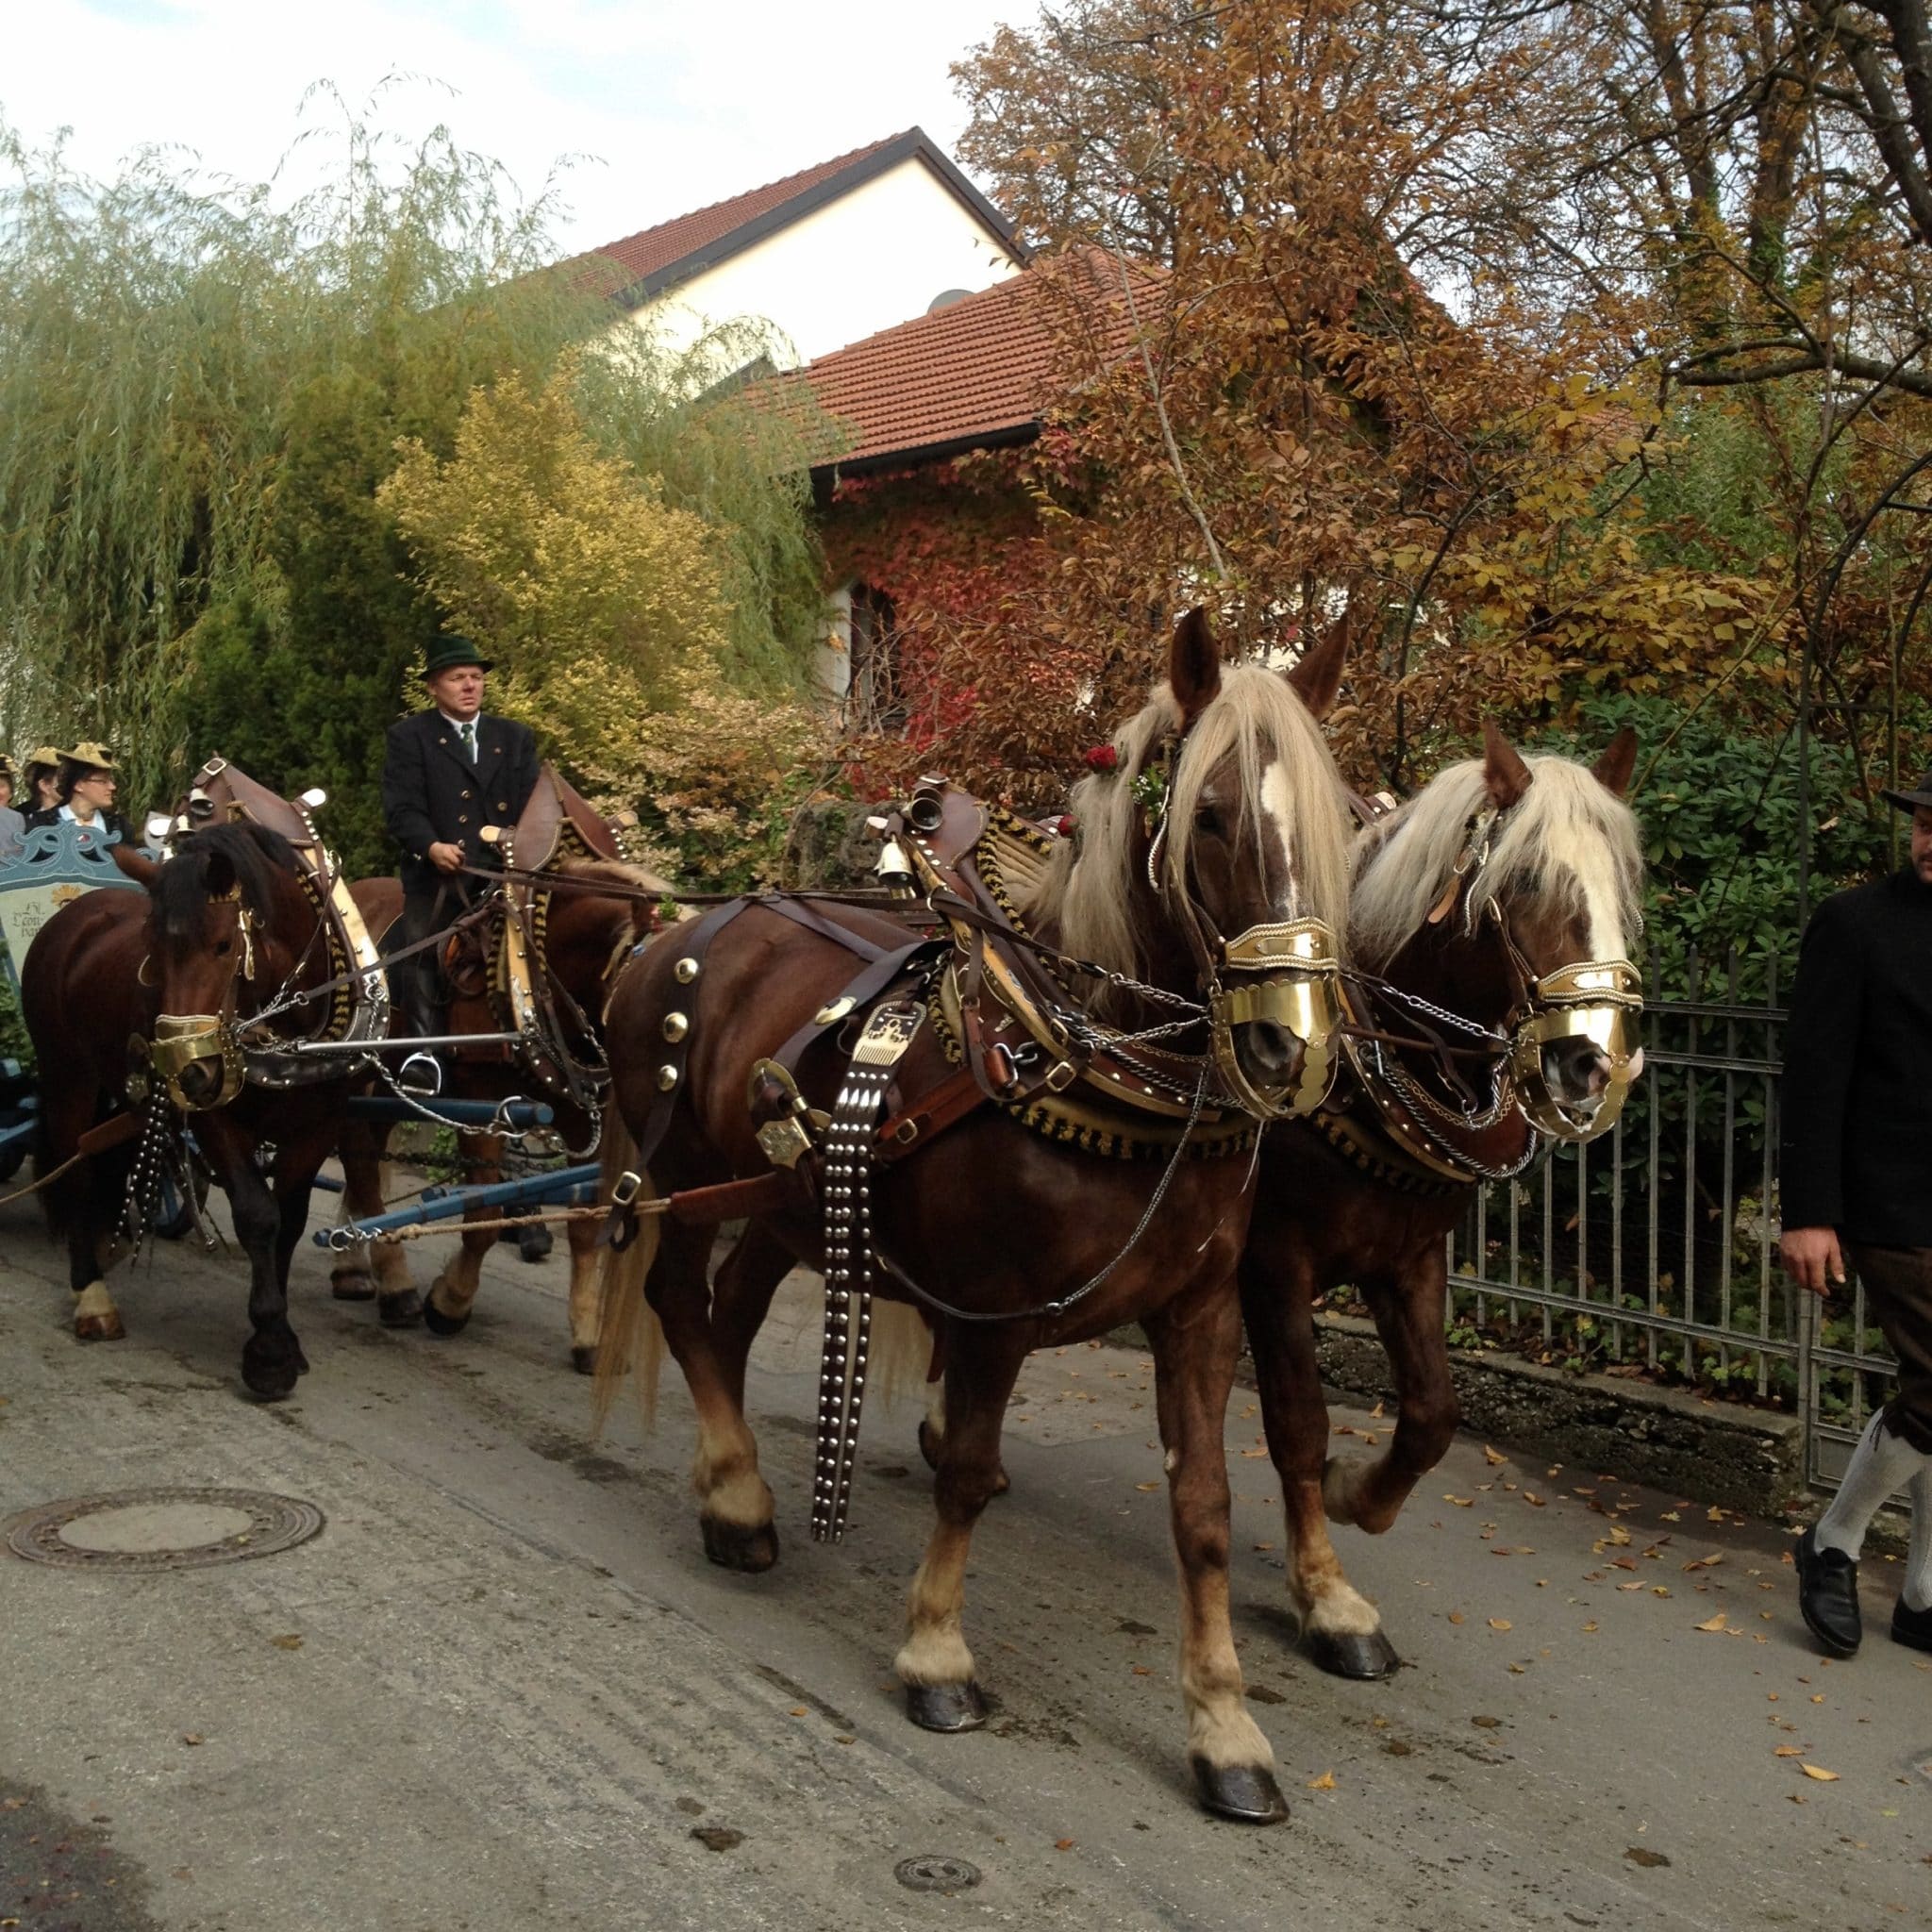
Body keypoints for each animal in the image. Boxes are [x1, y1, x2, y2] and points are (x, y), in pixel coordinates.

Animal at [22, 819, 386, 1396]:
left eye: (223, 945)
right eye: (151, 950)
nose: (186, 1069)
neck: (284, 1030)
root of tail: (76, 912)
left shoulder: (318, 1125)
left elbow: (290, 1220)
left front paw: (285, 1335)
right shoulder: (216, 1117)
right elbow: (258, 1214)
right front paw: (269, 1351)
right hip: (66, 1075)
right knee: (75, 1168)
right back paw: (92, 1296)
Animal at [592, 609, 1355, 1824]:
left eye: (1338, 824)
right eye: (1209, 814)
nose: (1292, 1045)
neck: (1106, 1068)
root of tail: (678, 927)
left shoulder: (1199, 1314)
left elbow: (1200, 1509)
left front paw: (1224, 1725)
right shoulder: (995, 1314)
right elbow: (963, 1473)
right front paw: (936, 1653)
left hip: (788, 1199)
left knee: (727, 1309)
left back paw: (727, 1485)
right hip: (681, 1168)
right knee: (675, 1294)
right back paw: (746, 1499)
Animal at [1239, 721, 1645, 1676]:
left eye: (1625, 882)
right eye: (1525, 881)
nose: (1596, 1065)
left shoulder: (1410, 1257)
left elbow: (1432, 1413)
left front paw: (1358, 1496)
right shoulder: (1272, 1263)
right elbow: (1299, 1421)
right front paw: (1326, 1598)